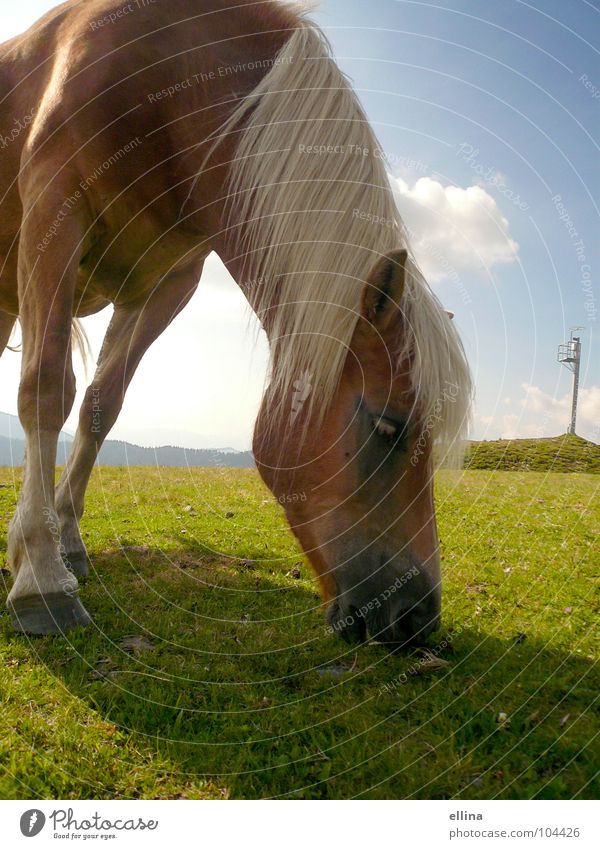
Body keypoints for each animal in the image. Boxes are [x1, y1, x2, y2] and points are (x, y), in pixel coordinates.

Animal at [0, 0, 472, 644]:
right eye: (388, 426)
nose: (418, 619)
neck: (164, 72)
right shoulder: (55, 212)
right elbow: (47, 388)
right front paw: (43, 579)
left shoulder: (165, 286)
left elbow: (101, 405)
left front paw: (67, 542)